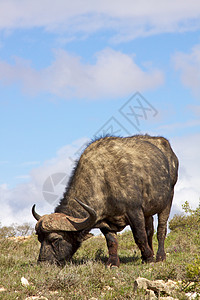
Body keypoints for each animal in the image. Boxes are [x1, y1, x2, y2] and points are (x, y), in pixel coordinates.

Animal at [32, 135, 178, 268]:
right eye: (39, 238)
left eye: (55, 239)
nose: (43, 264)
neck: (104, 181)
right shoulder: (105, 221)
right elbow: (112, 242)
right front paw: (113, 263)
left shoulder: (135, 211)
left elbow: (139, 237)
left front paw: (149, 258)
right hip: (148, 212)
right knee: (150, 230)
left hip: (168, 199)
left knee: (161, 229)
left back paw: (159, 256)